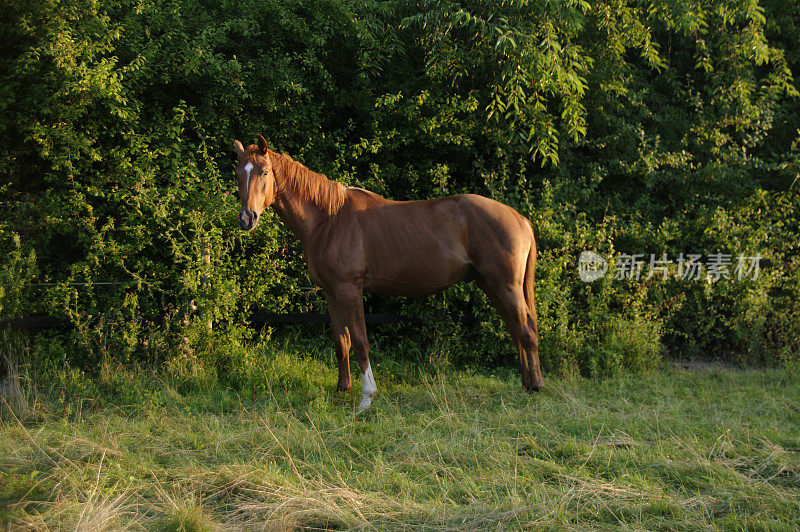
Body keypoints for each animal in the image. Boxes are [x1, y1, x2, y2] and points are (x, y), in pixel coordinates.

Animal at [233, 135, 544, 410]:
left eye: (263, 171)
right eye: (237, 174)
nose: (247, 218)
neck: (329, 219)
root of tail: (521, 219)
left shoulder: (349, 290)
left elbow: (360, 341)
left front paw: (366, 398)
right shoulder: (331, 293)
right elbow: (341, 340)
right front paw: (342, 389)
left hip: (506, 286)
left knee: (526, 329)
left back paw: (537, 387)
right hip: (490, 285)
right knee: (515, 329)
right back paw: (526, 383)